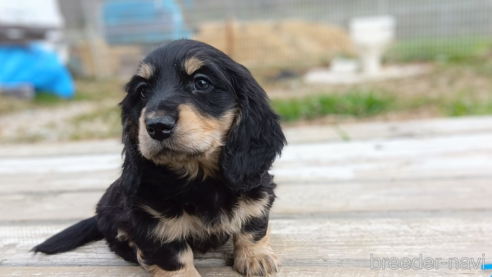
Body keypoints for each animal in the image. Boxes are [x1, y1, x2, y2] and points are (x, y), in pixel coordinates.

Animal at [34, 39, 286, 276]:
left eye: (201, 82)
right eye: (143, 91)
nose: (157, 127)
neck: (199, 177)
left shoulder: (258, 193)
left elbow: (252, 227)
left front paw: (256, 258)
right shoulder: (152, 223)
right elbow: (174, 256)